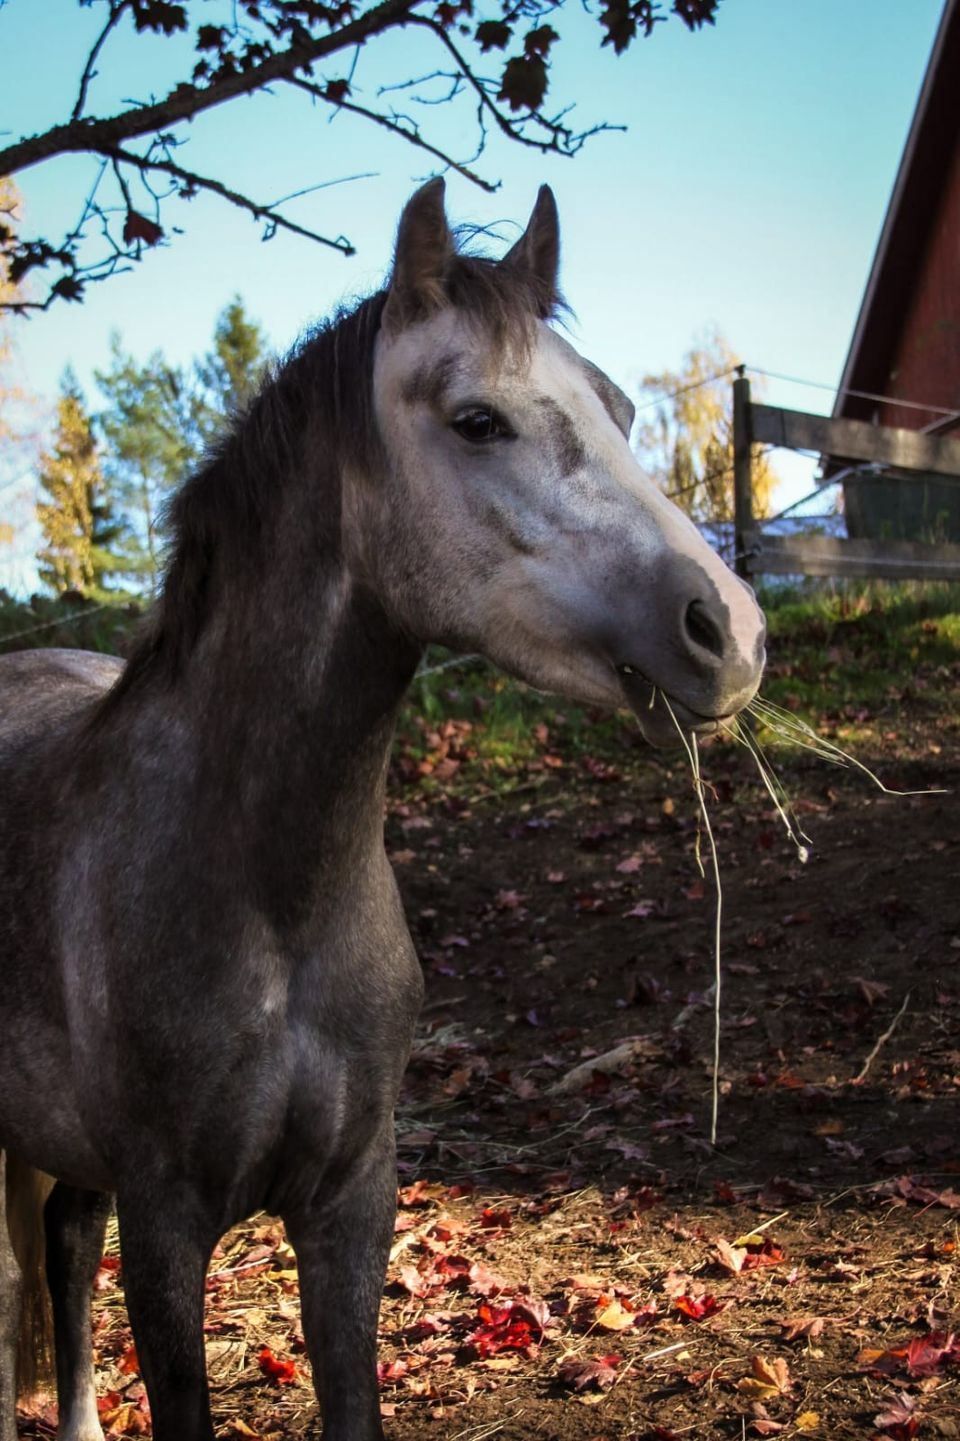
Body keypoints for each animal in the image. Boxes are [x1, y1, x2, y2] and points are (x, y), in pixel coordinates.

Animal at [0, 180, 761, 1441]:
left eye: (615, 406)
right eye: (476, 420)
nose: (731, 631)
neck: (269, 898)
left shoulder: (352, 1204)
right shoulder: (168, 1226)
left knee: (62, 1240)